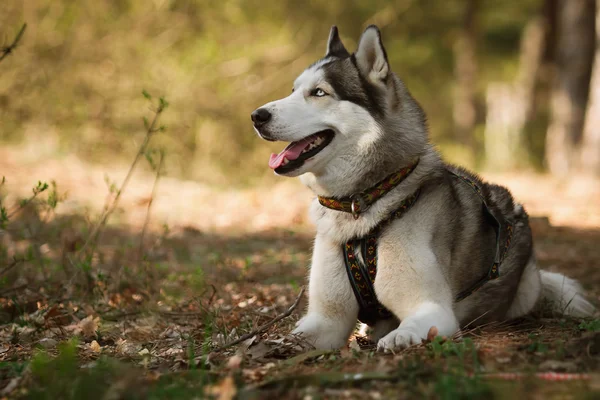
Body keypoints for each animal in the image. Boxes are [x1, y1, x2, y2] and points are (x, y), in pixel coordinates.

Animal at [250, 25, 596, 350]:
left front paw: (397, 339)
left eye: (319, 92)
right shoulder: (325, 319)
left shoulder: (432, 309)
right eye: (293, 90)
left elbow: (411, 328)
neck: (363, 201)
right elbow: (299, 335)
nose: (256, 115)